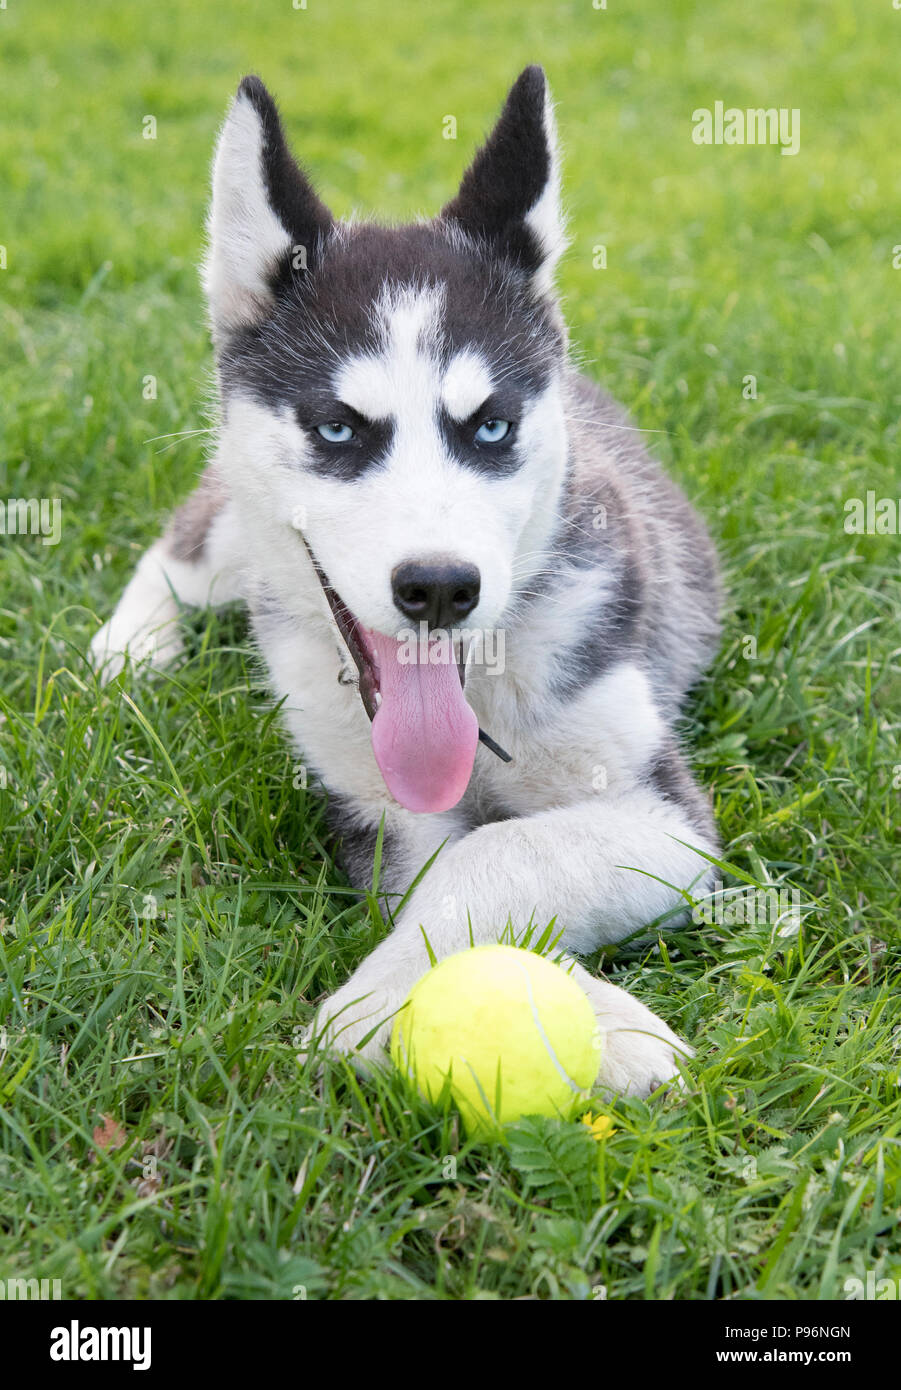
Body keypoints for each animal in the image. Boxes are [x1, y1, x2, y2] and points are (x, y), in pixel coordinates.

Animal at [91, 67, 723, 1095]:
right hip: (233, 542)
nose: (438, 588)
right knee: (181, 545)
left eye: (492, 426)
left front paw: (407, 999)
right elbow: (451, 870)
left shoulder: (662, 811)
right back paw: (130, 651)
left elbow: (500, 854)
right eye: (338, 428)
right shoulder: (380, 808)